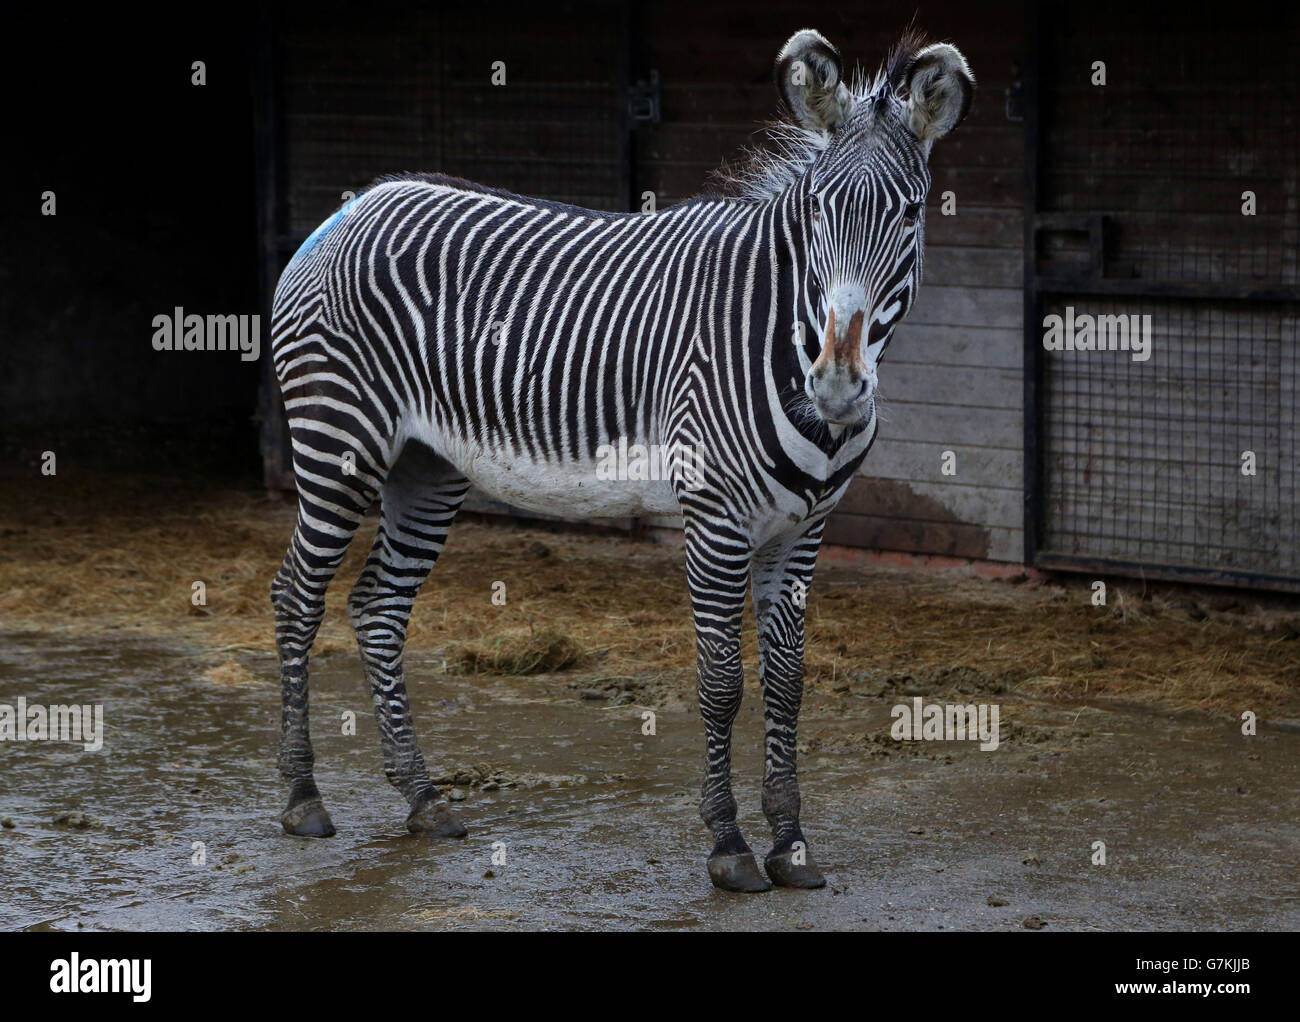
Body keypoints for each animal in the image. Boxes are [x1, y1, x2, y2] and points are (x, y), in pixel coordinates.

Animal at [269, 27, 972, 889]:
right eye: (816, 210)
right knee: (298, 597)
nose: (837, 388)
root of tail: (357, 203)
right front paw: (730, 846)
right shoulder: (715, 519)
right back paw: (303, 798)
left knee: (377, 608)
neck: (777, 323)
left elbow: (787, 683)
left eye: (910, 213)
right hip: (338, 440)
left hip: (424, 468)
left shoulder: (801, 532)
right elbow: (721, 682)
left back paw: (424, 799)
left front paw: (791, 844)